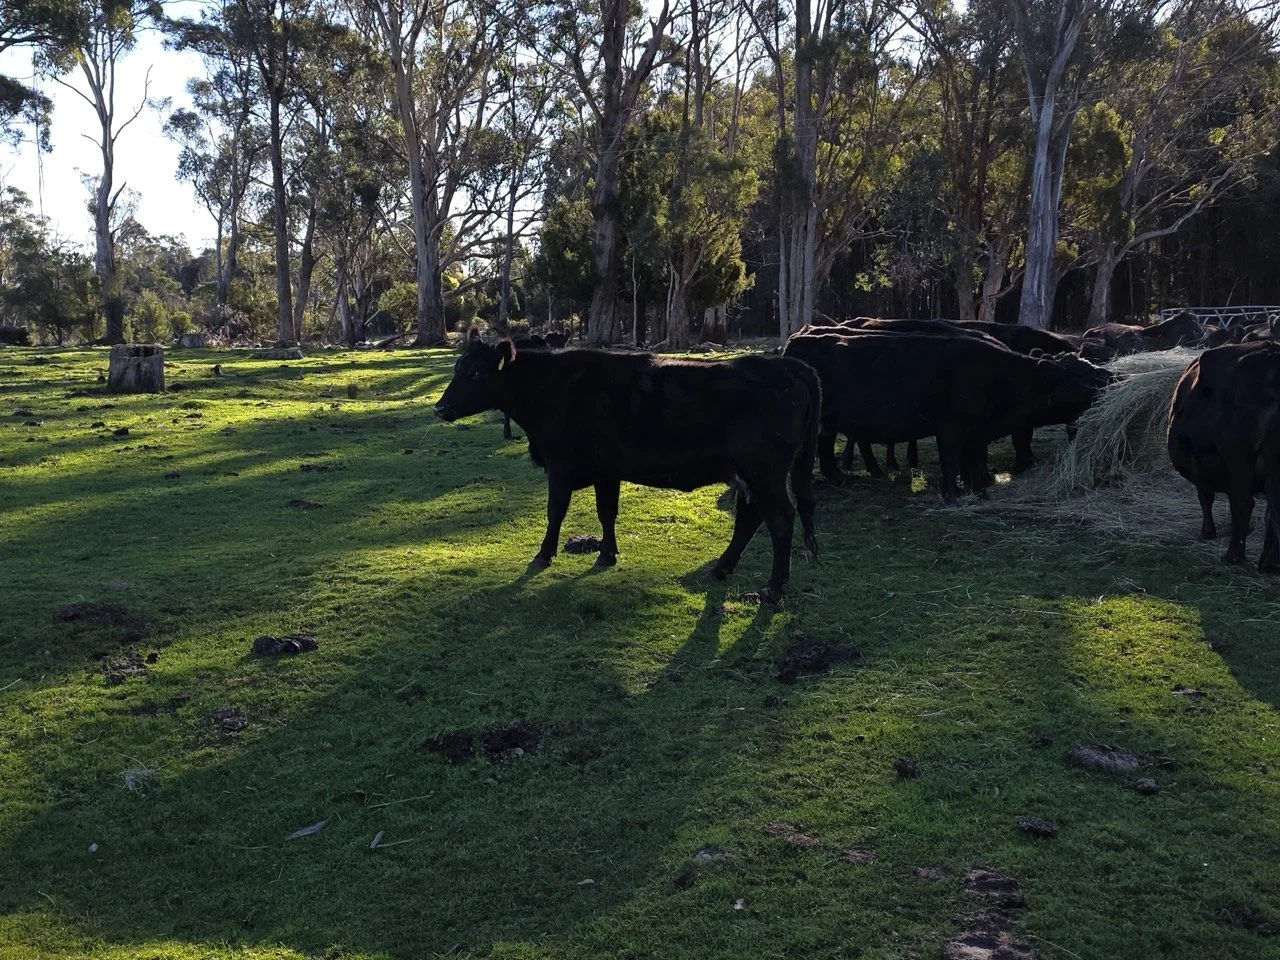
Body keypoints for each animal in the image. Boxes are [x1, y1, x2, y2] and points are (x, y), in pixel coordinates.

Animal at [434, 339, 822, 600]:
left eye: (476, 372)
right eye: (458, 369)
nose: (439, 408)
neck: (553, 388)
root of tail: (785, 365)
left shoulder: (560, 468)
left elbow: (555, 512)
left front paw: (543, 555)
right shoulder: (607, 471)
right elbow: (607, 512)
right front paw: (607, 553)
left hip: (765, 472)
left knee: (780, 519)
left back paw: (773, 589)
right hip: (749, 474)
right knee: (749, 518)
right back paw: (721, 569)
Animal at [782, 330, 1111, 500]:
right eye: (1078, 375)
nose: (1110, 375)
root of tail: (800, 337)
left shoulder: (977, 431)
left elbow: (974, 458)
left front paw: (978, 489)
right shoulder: (952, 426)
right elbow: (952, 458)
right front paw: (953, 493)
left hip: (827, 422)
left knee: (825, 448)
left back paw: (838, 477)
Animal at [1167, 341, 1280, 571]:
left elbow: (1205, 497)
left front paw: (1208, 532)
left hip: (1239, 460)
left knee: (1242, 503)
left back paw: (1233, 555)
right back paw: (1269, 563)